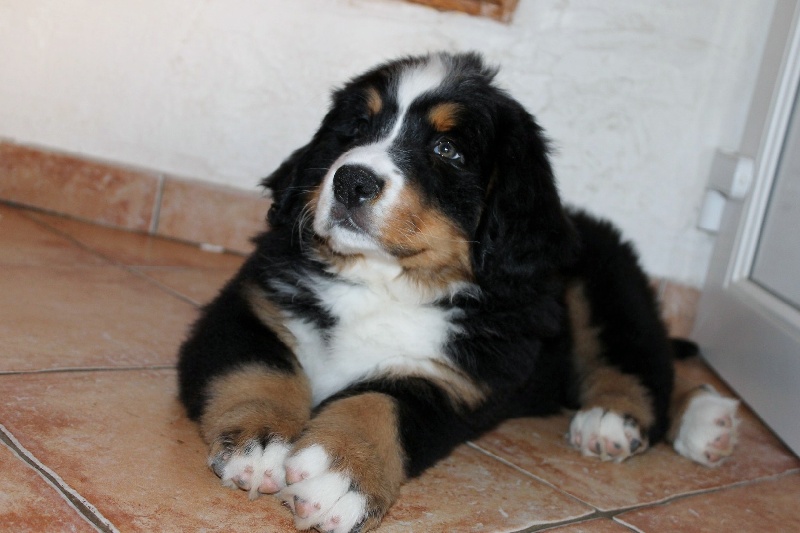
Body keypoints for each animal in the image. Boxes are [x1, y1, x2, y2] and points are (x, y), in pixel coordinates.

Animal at [177, 52, 740, 533]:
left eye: (447, 150)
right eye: (356, 129)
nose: (352, 180)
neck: (385, 282)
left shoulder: (458, 380)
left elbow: (383, 402)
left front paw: (340, 473)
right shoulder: (253, 305)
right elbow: (260, 369)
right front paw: (261, 442)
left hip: (606, 290)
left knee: (642, 364)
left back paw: (625, 419)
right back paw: (708, 422)